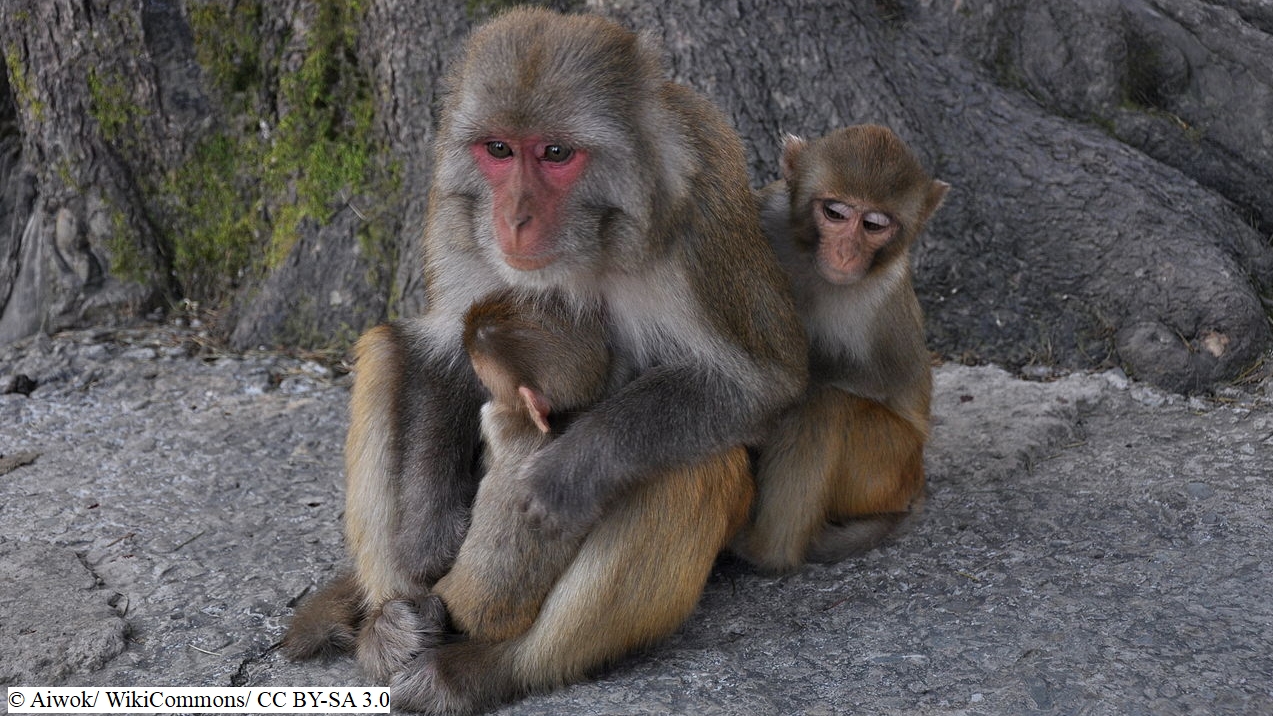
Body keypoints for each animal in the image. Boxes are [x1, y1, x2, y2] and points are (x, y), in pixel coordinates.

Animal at [284, 7, 806, 713]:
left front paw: (566, 472)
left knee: (693, 466)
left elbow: (757, 384)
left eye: (556, 154)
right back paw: (390, 625)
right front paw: (428, 532)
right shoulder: (453, 211)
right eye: (499, 150)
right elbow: (439, 353)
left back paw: (490, 669)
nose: (515, 218)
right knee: (387, 348)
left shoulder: (697, 220)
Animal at [733, 124, 949, 573]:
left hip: (887, 464)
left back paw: (766, 550)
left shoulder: (883, 297)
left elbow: (879, 379)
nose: (846, 252)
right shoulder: (768, 213)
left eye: (874, 224)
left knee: (825, 406)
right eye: (835, 213)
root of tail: (916, 480)